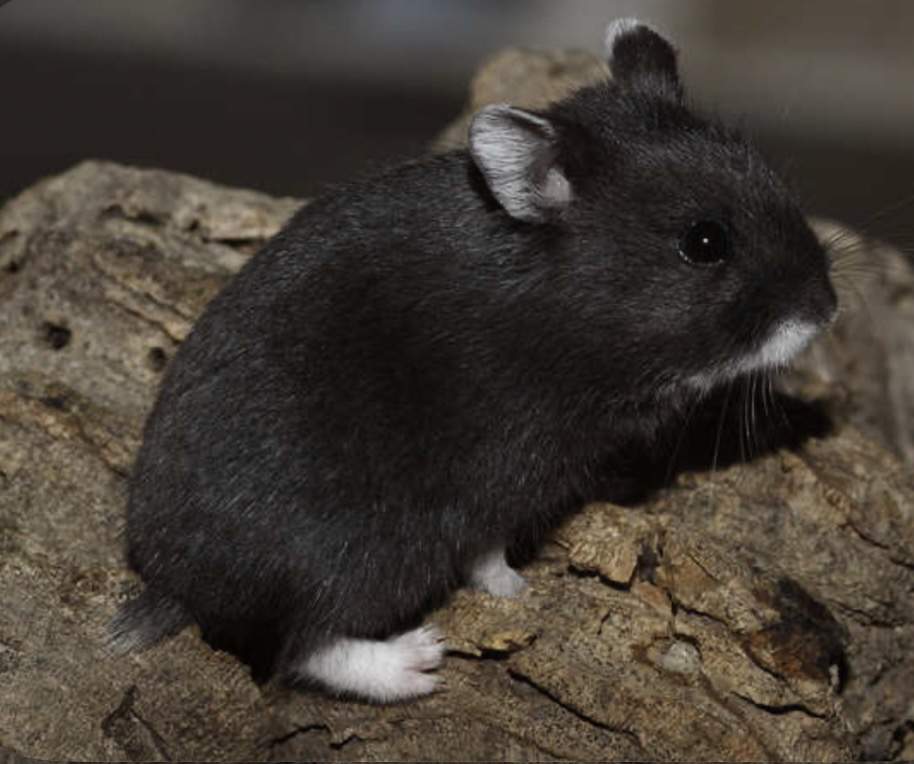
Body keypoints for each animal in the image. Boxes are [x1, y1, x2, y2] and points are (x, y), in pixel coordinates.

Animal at [111, 19, 837, 702]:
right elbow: (487, 555)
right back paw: (418, 663)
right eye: (705, 242)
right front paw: (519, 591)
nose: (828, 309)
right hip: (363, 555)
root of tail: (180, 588)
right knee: (304, 648)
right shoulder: (508, 477)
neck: (569, 314)